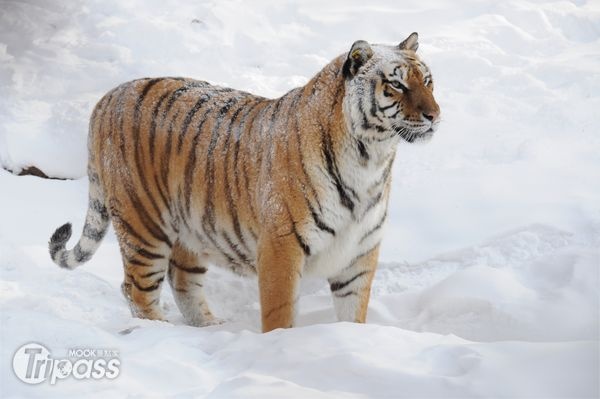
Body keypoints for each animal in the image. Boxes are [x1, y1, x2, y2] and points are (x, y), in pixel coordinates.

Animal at [48, 32, 440, 334]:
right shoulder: (282, 245)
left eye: (427, 81)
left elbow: (352, 314)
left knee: (182, 280)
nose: (434, 115)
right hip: (143, 224)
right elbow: (280, 313)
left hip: (190, 228)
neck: (370, 159)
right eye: (396, 84)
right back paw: (161, 333)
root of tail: (107, 97)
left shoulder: (358, 252)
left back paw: (209, 328)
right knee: (136, 289)